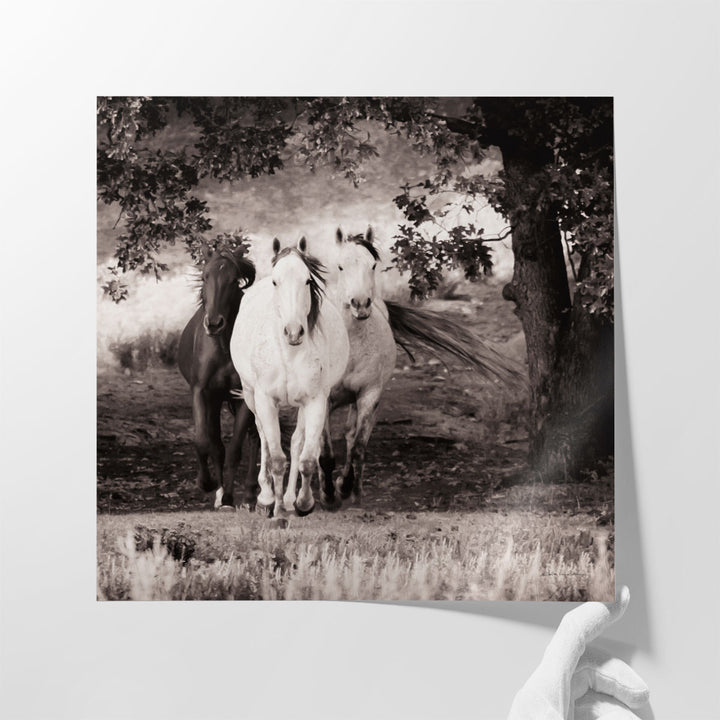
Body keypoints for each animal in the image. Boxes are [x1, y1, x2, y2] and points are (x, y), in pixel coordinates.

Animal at [179, 245, 260, 510]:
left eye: (234, 281)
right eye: (205, 277)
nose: (214, 323)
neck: (224, 347)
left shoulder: (243, 397)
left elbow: (235, 449)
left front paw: (229, 498)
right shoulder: (202, 392)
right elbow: (206, 442)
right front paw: (208, 485)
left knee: (256, 437)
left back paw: (251, 494)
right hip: (217, 401)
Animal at [231, 238, 348, 516]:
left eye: (307, 281)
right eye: (276, 281)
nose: (293, 332)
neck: (289, 353)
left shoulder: (315, 401)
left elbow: (306, 458)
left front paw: (302, 503)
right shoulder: (265, 400)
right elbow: (275, 457)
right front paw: (275, 508)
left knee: (296, 442)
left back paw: (287, 498)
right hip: (250, 396)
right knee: (262, 437)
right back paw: (266, 497)